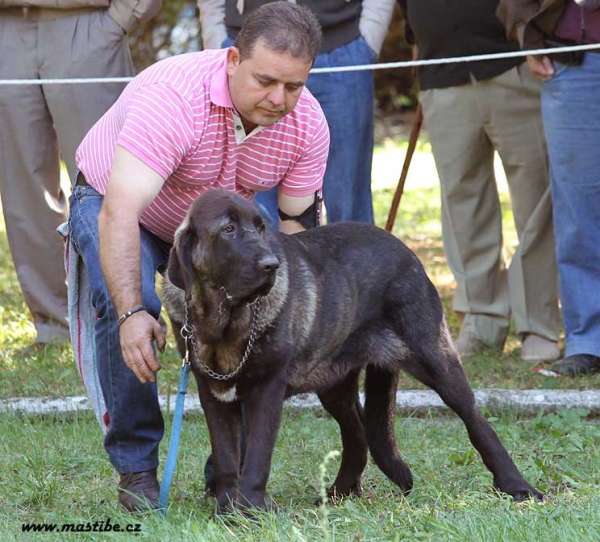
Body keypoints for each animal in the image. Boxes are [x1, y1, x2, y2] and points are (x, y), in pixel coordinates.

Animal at [164, 190, 544, 516]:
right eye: (228, 229)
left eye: (259, 227)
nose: (271, 265)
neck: (225, 323)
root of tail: (403, 248)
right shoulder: (213, 394)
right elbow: (227, 458)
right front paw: (228, 510)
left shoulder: (266, 390)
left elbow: (256, 455)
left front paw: (250, 512)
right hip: (332, 382)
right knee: (357, 432)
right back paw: (340, 491)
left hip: (437, 360)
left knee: (477, 423)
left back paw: (518, 487)